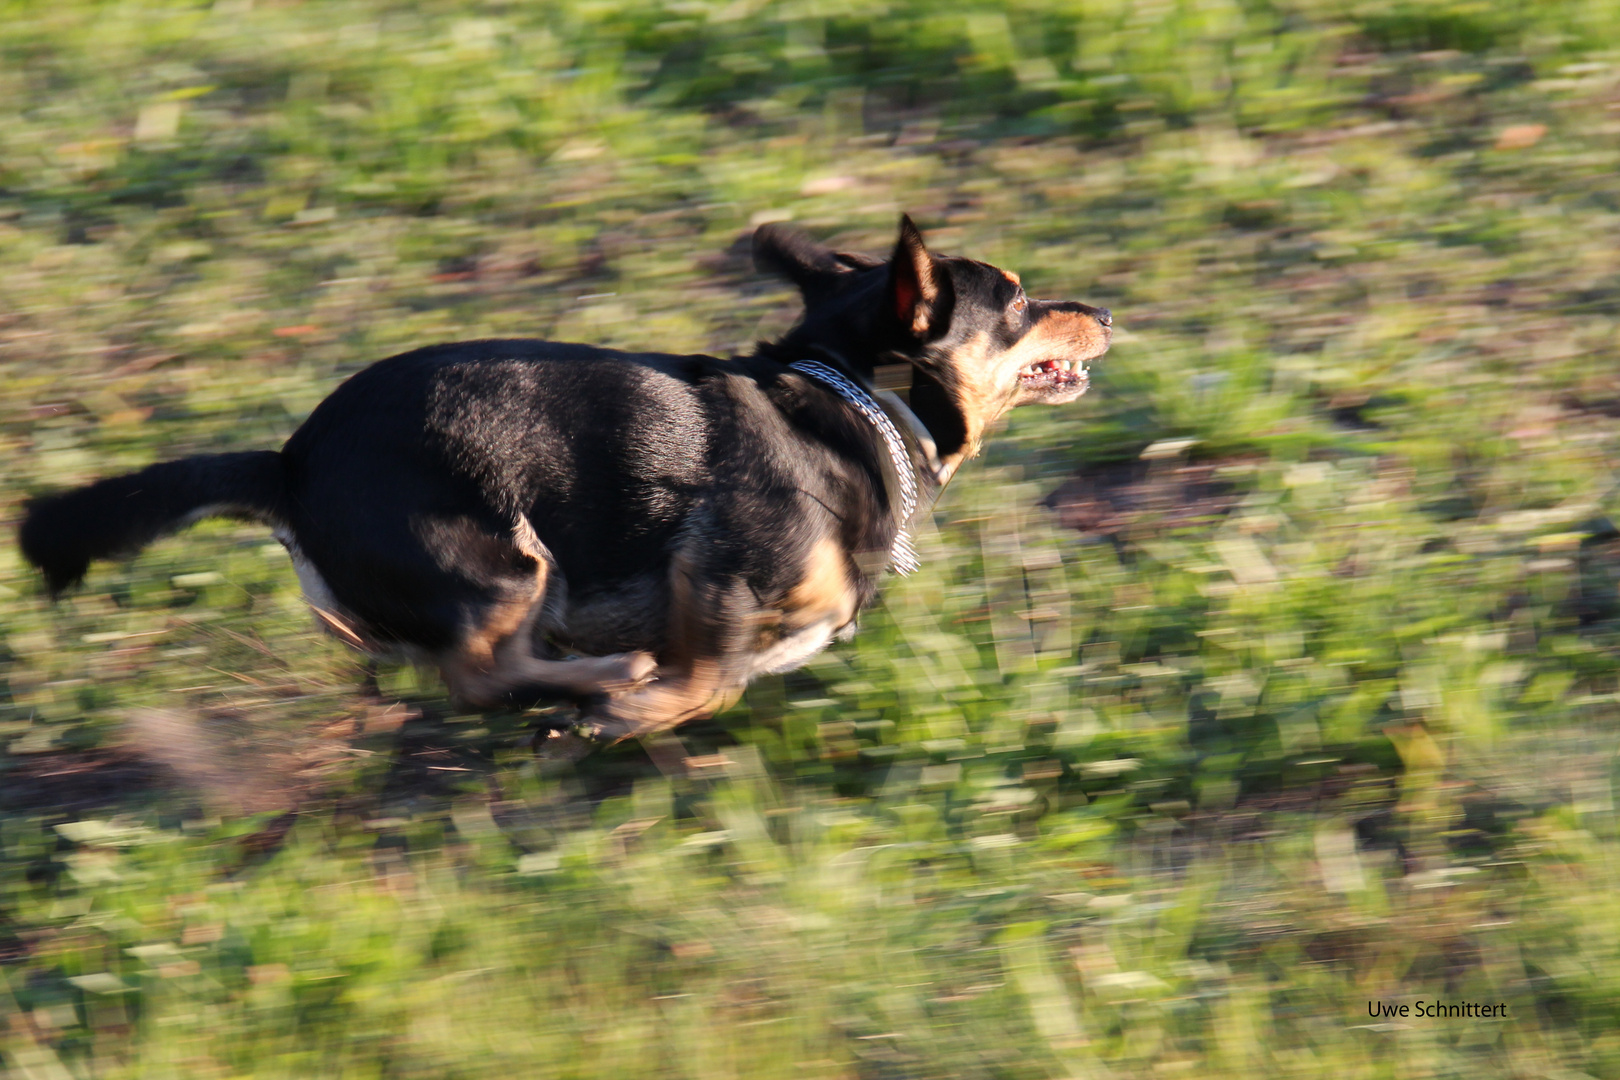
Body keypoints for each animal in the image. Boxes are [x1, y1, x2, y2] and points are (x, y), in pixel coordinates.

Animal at [19, 216, 1108, 761]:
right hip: (508, 558)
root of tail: (290, 462)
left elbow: (727, 675)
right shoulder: (715, 575)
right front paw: (629, 711)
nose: (1102, 306)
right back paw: (606, 679)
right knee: (482, 672)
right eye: (1018, 300)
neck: (848, 392)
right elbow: (710, 679)